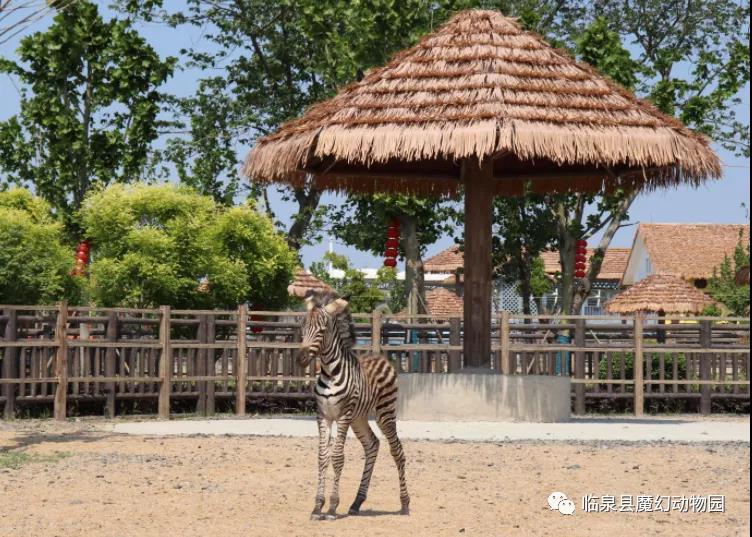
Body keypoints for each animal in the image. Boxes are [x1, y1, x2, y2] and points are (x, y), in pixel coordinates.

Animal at [298, 288, 412, 520]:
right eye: (303, 327)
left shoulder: (343, 415)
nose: (301, 358)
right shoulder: (323, 416)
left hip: (384, 413)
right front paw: (318, 506)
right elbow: (322, 457)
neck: (330, 372)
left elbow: (337, 457)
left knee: (397, 450)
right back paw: (357, 502)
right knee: (372, 445)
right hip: (358, 418)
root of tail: (381, 356)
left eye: (322, 329)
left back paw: (404, 503)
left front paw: (332, 507)